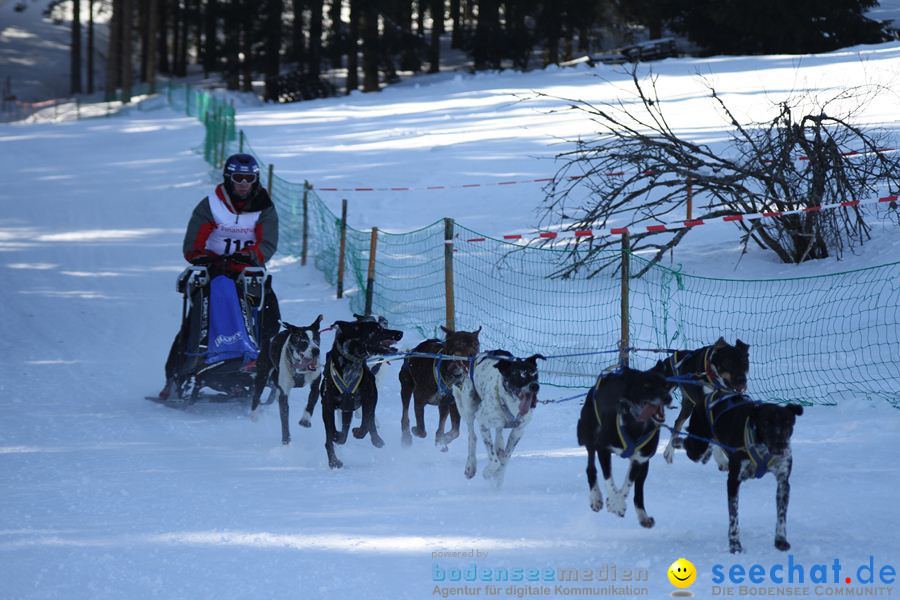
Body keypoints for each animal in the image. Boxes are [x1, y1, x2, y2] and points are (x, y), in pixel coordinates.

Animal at [250, 314, 324, 446]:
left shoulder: (315, 387)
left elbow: (311, 403)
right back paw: (254, 417)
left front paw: (305, 419)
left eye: (316, 340)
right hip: (262, 376)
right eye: (303, 342)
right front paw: (286, 440)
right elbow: (284, 418)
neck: (300, 369)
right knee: (256, 395)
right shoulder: (284, 394)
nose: (316, 350)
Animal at [318, 318, 400, 468]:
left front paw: (361, 433)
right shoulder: (327, 405)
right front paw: (334, 456)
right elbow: (331, 431)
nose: (399, 333)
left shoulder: (370, 397)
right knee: (334, 437)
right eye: (375, 329)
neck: (351, 362)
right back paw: (334, 458)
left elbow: (367, 420)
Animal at [454, 352, 544, 488]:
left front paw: (499, 476)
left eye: (535, 373)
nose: (535, 386)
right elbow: (494, 460)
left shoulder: (518, 431)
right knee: (472, 436)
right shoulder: (483, 422)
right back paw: (470, 466)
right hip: (469, 407)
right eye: (519, 374)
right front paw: (488, 472)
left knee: (499, 435)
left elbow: (505, 459)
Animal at [576, 368, 676, 528]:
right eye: (646, 385)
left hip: (645, 465)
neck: (637, 425)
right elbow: (608, 479)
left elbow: (628, 485)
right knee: (590, 468)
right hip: (590, 438)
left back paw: (643, 516)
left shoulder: (640, 459)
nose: (667, 398)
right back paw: (596, 497)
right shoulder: (603, 448)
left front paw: (617, 502)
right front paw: (615, 503)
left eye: (665, 385)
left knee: (639, 490)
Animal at [684, 394, 804, 552]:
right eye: (766, 422)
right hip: (696, 448)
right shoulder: (733, 480)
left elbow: (782, 515)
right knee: (687, 443)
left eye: (788, 422)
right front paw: (735, 544)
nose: (780, 445)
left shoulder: (783, 481)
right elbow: (734, 517)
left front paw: (780, 540)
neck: (762, 448)